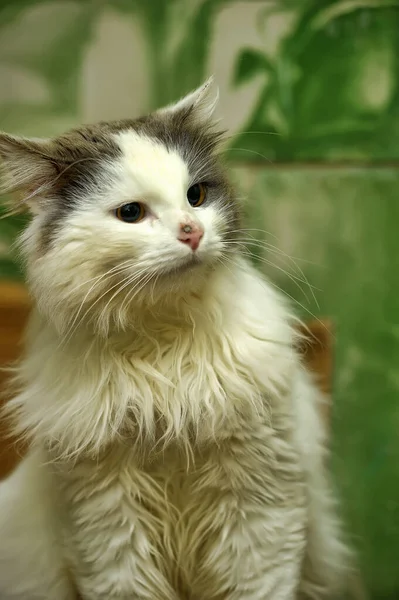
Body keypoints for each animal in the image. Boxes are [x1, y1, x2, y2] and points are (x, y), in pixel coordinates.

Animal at [0, 81, 350, 600]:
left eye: (196, 195)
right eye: (131, 213)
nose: (193, 231)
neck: (164, 348)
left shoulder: (263, 505)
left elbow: (261, 583)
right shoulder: (106, 518)